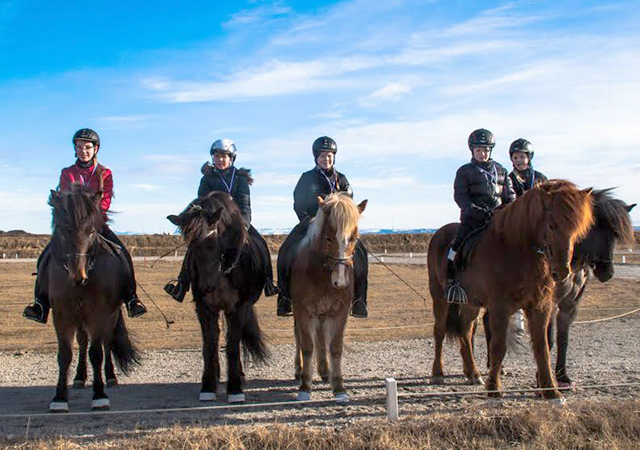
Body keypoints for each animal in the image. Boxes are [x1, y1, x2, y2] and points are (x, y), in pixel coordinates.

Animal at [45, 185, 140, 414]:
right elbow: (65, 355)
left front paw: (99, 395)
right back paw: (79, 378)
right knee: (82, 341)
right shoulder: (62, 316)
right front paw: (59, 398)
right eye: (62, 230)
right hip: (80, 317)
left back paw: (111, 377)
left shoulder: (100, 314)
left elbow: (96, 353)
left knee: (105, 342)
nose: (78, 276)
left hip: (109, 316)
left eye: (90, 231)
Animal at [166, 192, 268, 402]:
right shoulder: (204, 308)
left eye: (213, 241)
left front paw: (235, 389)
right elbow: (210, 345)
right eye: (191, 245)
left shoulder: (238, 307)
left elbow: (232, 345)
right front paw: (208, 386)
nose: (206, 286)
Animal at [288, 192, 368, 402]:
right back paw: (300, 371)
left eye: (354, 238)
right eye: (329, 238)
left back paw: (325, 371)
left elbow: (335, 348)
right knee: (300, 336)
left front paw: (339, 388)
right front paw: (305, 387)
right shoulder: (303, 310)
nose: (340, 281)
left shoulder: (339, 312)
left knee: (321, 338)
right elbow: (307, 347)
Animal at [428, 180, 592, 400]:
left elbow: (542, 347)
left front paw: (551, 391)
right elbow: (498, 345)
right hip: (439, 297)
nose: (562, 271)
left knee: (465, 331)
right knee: (439, 331)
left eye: (577, 230)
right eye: (552, 225)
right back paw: (438, 373)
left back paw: (472, 373)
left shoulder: (540, 306)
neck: (516, 250)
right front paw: (494, 389)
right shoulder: (500, 307)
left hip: (471, 302)